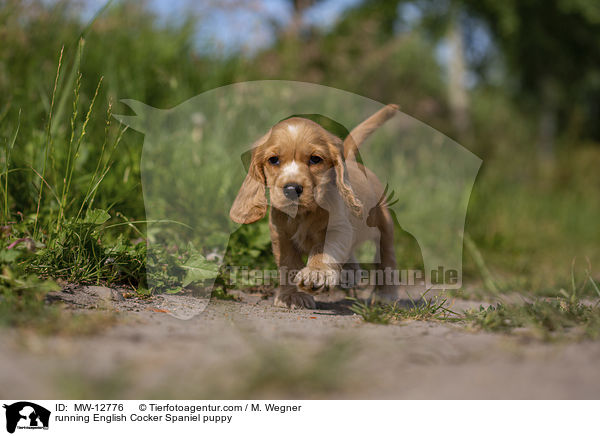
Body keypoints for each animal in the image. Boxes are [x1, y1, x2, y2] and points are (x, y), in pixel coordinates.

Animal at [230, 105, 398, 310]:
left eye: (315, 159)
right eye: (273, 160)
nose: (291, 189)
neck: (303, 214)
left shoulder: (338, 229)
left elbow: (323, 251)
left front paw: (316, 273)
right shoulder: (280, 235)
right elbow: (288, 264)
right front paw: (291, 297)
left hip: (384, 223)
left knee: (387, 255)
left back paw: (386, 294)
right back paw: (350, 271)